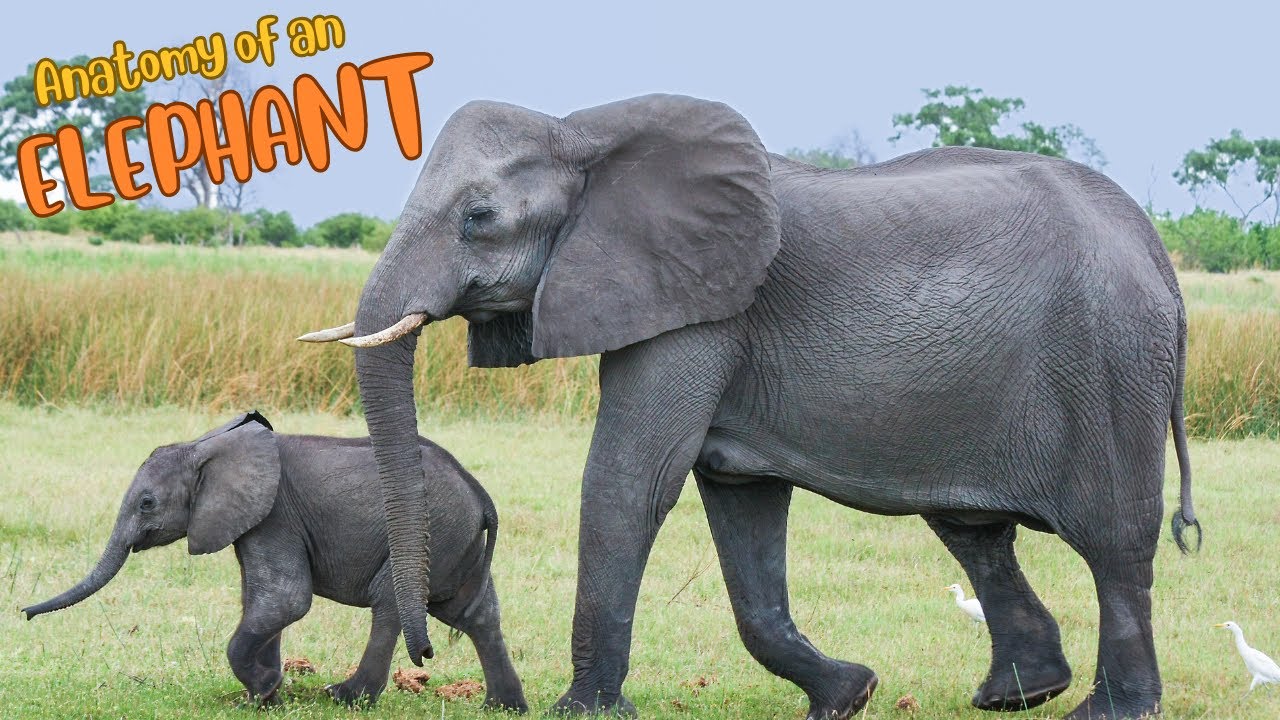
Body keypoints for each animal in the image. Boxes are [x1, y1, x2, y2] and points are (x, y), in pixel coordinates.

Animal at [22, 412, 527, 712]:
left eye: (147, 504)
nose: (23, 613)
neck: (207, 446)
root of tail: (480, 494)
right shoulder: (253, 522)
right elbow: (261, 602)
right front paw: (264, 696)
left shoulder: (275, 515)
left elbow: (285, 600)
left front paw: (264, 690)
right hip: (455, 543)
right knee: (475, 613)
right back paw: (503, 707)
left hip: (433, 532)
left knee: (390, 603)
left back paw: (345, 697)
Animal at [300, 94, 1199, 719]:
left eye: (479, 219)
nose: (425, 655)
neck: (584, 131)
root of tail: (1157, 252)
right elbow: (739, 503)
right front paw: (848, 695)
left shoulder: (703, 309)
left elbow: (632, 481)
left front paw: (585, 711)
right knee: (975, 533)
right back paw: (1016, 695)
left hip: (1112, 366)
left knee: (1115, 545)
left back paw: (1108, 709)